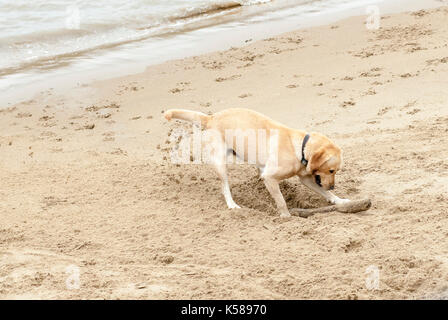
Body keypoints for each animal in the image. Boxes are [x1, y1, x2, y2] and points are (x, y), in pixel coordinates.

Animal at [164, 108, 350, 218]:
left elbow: (325, 193)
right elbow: (281, 201)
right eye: (332, 170)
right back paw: (232, 205)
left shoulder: (306, 179)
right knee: (224, 187)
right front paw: (286, 217)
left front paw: (339, 200)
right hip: (221, 163)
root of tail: (211, 118)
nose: (333, 185)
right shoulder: (270, 177)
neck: (300, 148)